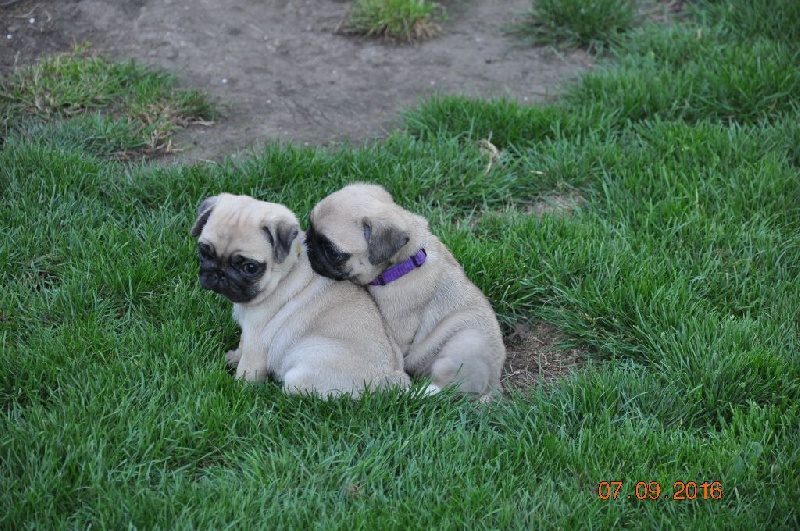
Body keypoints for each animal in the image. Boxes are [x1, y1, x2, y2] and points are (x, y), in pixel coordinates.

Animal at [190, 193, 410, 398]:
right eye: (204, 252)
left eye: (250, 268)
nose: (220, 273)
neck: (285, 272)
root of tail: (389, 377)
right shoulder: (248, 331)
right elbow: (242, 345)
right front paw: (234, 357)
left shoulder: (257, 342)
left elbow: (247, 371)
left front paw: (238, 390)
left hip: (303, 367)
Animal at [306, 183, 506, 397]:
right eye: (309, 226)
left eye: (332, 252)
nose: (308, 245)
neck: (404, 261)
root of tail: (495, 383)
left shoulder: (397, 332)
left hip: (467, 342)